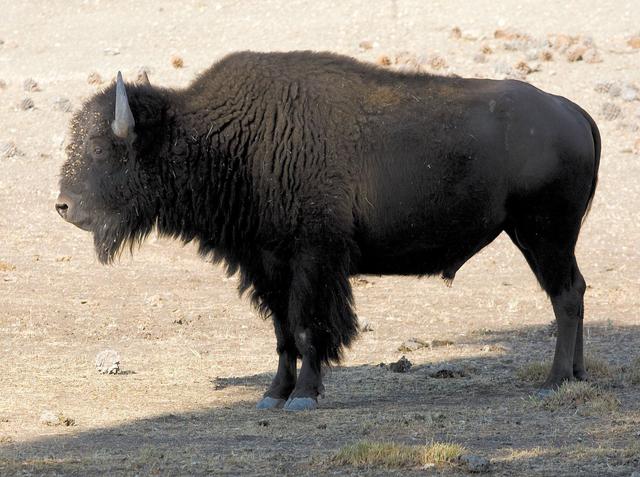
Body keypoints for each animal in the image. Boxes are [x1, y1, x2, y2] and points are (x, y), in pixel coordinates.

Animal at [56, 51, 600, 411]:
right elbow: (281, 334)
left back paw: (553, 381)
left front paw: (304, 396)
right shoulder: (266, 264)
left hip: (544, 234)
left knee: (565, 296)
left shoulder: (313, 259)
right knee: (573, 291)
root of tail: (574, 112)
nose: (63, 206)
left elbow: (306, 326)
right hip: (539, 237)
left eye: (104, 148)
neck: (230, 137)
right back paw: (575, 376)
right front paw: (273, 395)